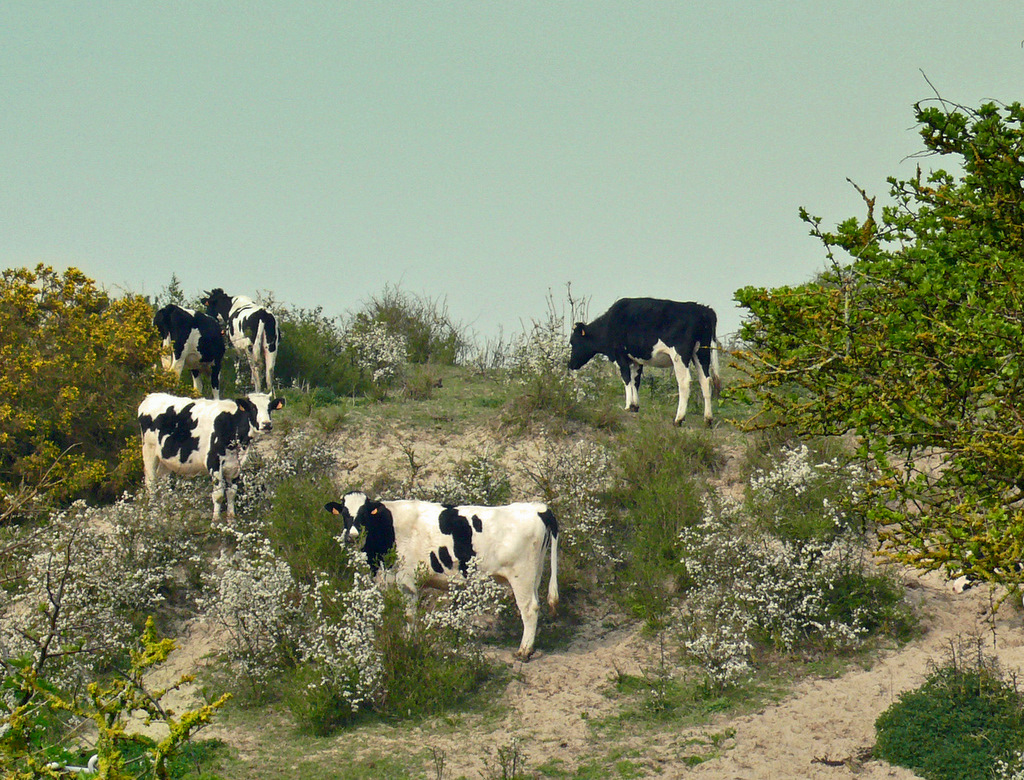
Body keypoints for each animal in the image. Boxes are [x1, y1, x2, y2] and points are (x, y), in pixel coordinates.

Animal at [323, 489, 561, 659]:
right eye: (344, 513)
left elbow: (409, 616)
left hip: (521, 574)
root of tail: (538, 508)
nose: (352, 536)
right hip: (535, 572)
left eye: (364, 514)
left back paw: (524, 651)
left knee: (529, 609)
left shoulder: (407, 582)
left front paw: (409, 642)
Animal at [569, 294, 720, 421]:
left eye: (573, 342)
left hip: (680, 355)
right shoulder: (637, 360)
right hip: (701, 353)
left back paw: (679, 419)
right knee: (705, 380)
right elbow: (636, 380)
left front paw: (628, 405)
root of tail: (703, 309)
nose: (571, 364)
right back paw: (708, 419)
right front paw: (635, 406)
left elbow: (626, 379)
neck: (609, 324)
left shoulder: (620, 356)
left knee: (684, 382)